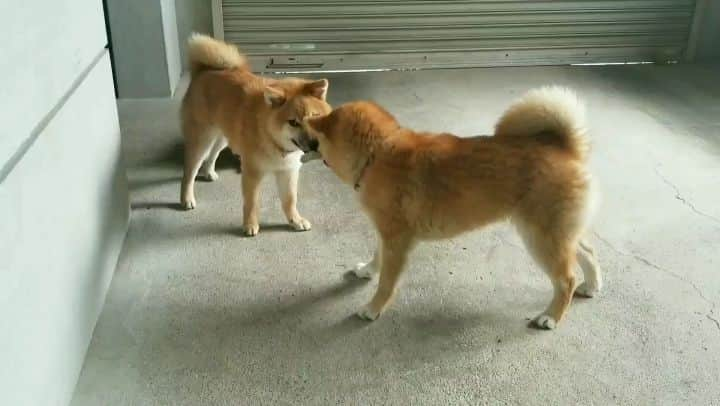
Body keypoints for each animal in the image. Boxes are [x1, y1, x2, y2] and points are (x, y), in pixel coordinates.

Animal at [183, 35, 334, 238]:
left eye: (314, 117)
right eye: (293, 122)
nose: (314, 144)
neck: (270, 137)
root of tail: (203, 71)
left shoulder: (288, 171)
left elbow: (290, 200)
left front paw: (295, 220)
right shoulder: (252, 172)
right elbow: (252, 202)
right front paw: (250, 224)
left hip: (223, 137)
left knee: (213, 154)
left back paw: (209, 172)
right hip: (202, 140)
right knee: (189, 171)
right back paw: (186, 198)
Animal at [296, 87, 600, 328]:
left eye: (313, 133)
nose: (301, 146)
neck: (375, 155)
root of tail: (564, 147)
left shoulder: (397, 240)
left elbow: (386, 282)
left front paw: (373, 308)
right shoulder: (385, 233)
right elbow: (377, 255)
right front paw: (368, 270)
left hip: (540, 237)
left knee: (566, 279)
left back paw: (551, 316)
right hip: (558, 233)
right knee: (587, 251)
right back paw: (592, 285)